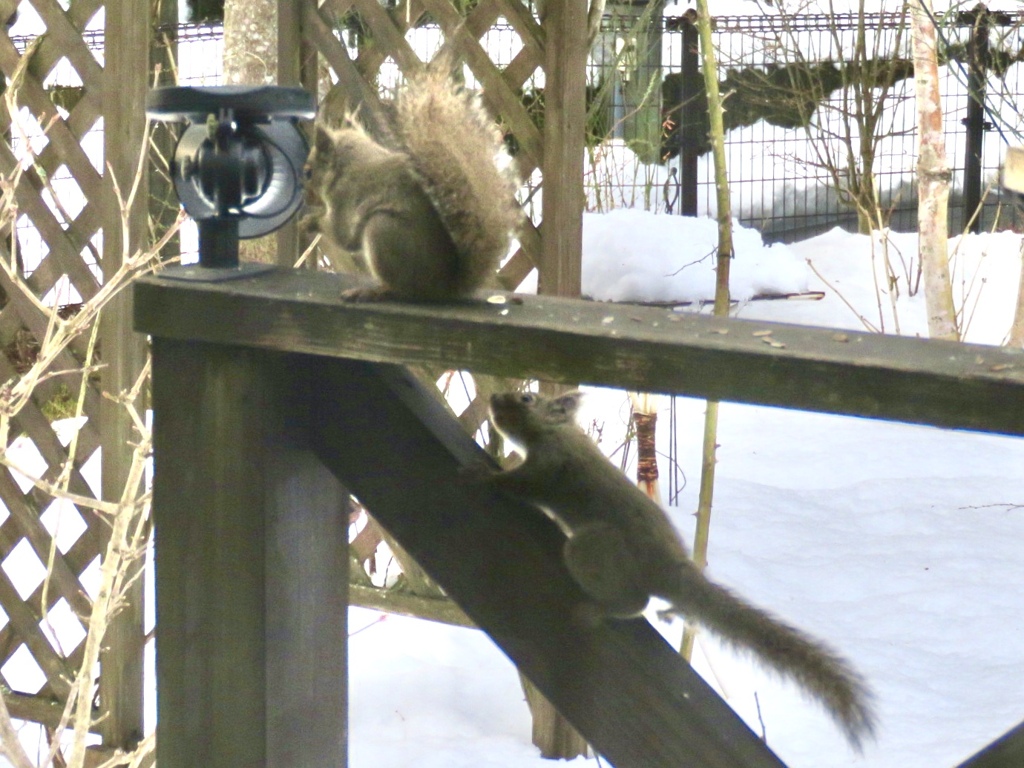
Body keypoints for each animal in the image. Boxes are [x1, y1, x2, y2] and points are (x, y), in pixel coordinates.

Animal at [299, 65, 516, 301]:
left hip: (382, 230)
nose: (304, 193)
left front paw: (308, 220)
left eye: (308, 173)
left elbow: (343, 237)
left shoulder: (343, 197)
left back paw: (372, 290)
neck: (345, 165)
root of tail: (444, 288)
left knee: (398, 288)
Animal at [479, 391, 872, 753]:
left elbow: (522, 484)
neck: (558, 433)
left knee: (635, 601)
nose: (494, 398)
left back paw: (599, 609)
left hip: (592, 549)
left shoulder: (548, 469)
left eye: (526, 399)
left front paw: (488, 476)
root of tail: (669, 572)